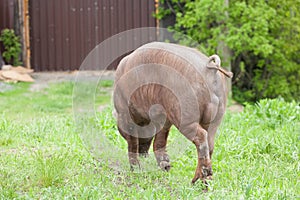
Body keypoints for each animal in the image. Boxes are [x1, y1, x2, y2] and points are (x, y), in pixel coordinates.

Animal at [112, 42, 232, 184]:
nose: (144, 155)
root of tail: (210, 70)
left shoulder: (126, 114)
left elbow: (133, 142)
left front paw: (136, 170)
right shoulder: (163, 118)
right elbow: (159, 140)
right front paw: (166, 167)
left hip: (184, 115)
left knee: (201, 137)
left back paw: (197, 180)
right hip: (217, 117)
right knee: (210, 143)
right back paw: (202, 181)